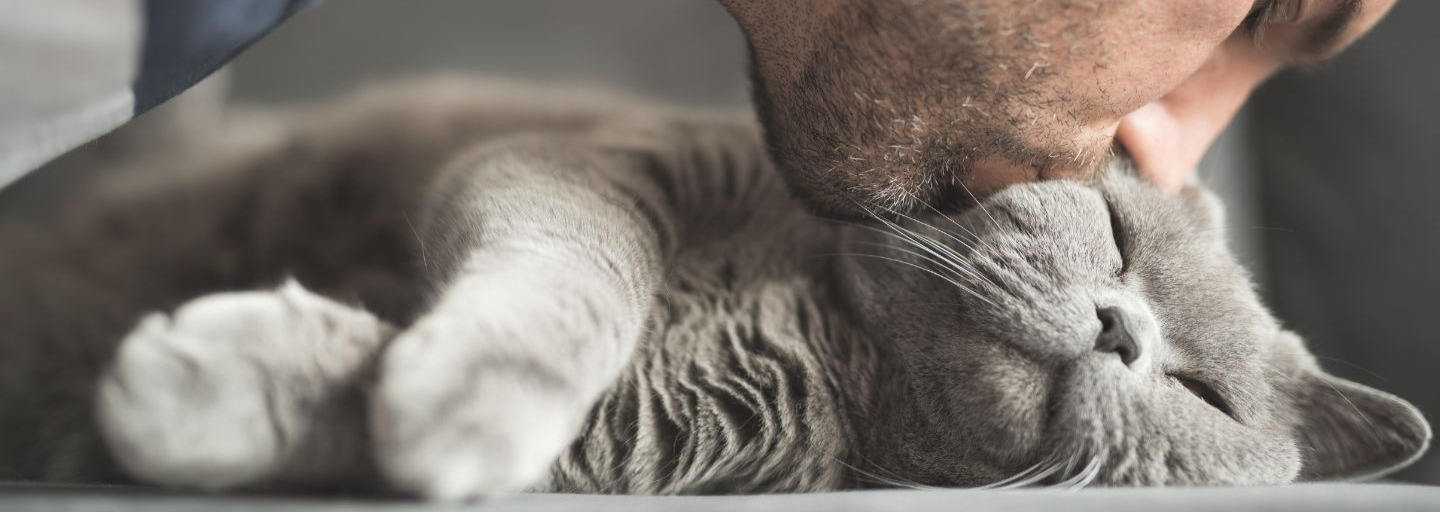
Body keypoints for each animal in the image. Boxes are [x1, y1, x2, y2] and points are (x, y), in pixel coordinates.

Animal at [0, 79, 1428, 500]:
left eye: (1202, 391)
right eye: (1119, 234)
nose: (1123, 328)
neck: (830, 336)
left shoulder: (647, 434)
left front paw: (207, 386)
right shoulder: (583, 159)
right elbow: (580, 279)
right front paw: (468, 391)